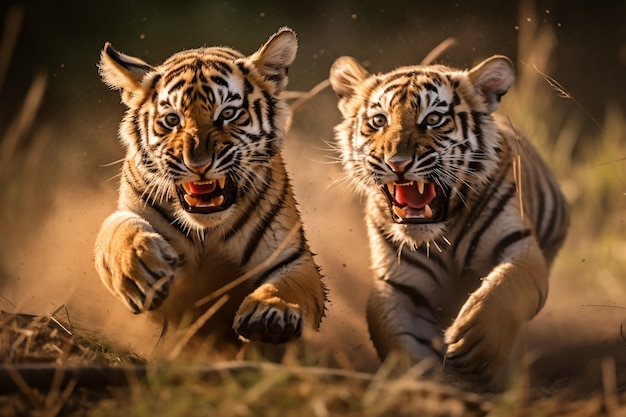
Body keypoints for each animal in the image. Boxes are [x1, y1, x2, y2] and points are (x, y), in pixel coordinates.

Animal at [95, 27, 326, 352]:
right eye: (172, 119)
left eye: (228, 114)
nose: (198, 164)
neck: (206, 230)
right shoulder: (129, 212)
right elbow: (116, 231)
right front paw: (139, 270)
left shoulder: (292, 257)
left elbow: (289, 286)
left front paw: (273, 312)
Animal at [330, 54, 568, 380]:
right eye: (379, 121)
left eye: (433, 119)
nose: (397, 163)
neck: (442, 234)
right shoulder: (398, 284)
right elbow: (400, 341)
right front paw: (424, 382)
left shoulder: (519, 243)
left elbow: (508, 284)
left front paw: (475, 341)